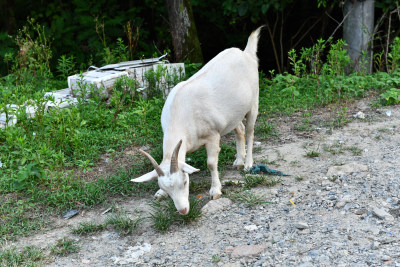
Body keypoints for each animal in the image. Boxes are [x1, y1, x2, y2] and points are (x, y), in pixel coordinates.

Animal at [131, 27, 262, 216]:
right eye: (168, 189)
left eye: (185, 181)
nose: (183, 210)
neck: (181, 113)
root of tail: (246, 53)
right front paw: (160, 193)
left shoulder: (213, 135)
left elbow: (211, 164)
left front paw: (215, 191)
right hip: (232, 114)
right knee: (240, 129)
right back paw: (239, 161)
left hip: (253, 103)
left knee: (251, 131)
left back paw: (248, 164)